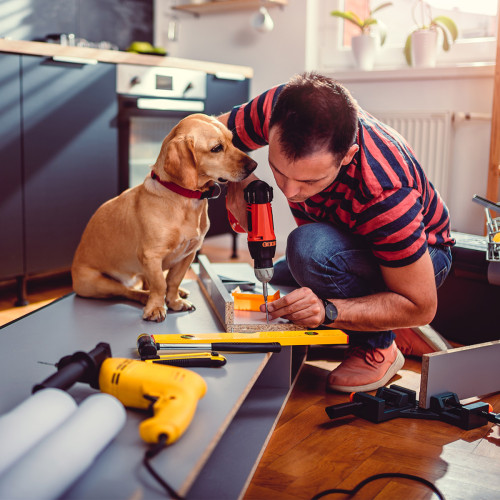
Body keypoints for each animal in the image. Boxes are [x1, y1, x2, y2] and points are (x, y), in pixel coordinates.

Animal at [71, 114, 258, 322]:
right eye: (216, 148)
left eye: (232, 140)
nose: (254, 165)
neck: (185, 199)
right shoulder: (151, 256)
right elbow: (159, 284)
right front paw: (155, 307)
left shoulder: (188, 255)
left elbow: (173, 280)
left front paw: (175, 301)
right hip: (97, 283)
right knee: (128, 291)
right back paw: (144, 298)